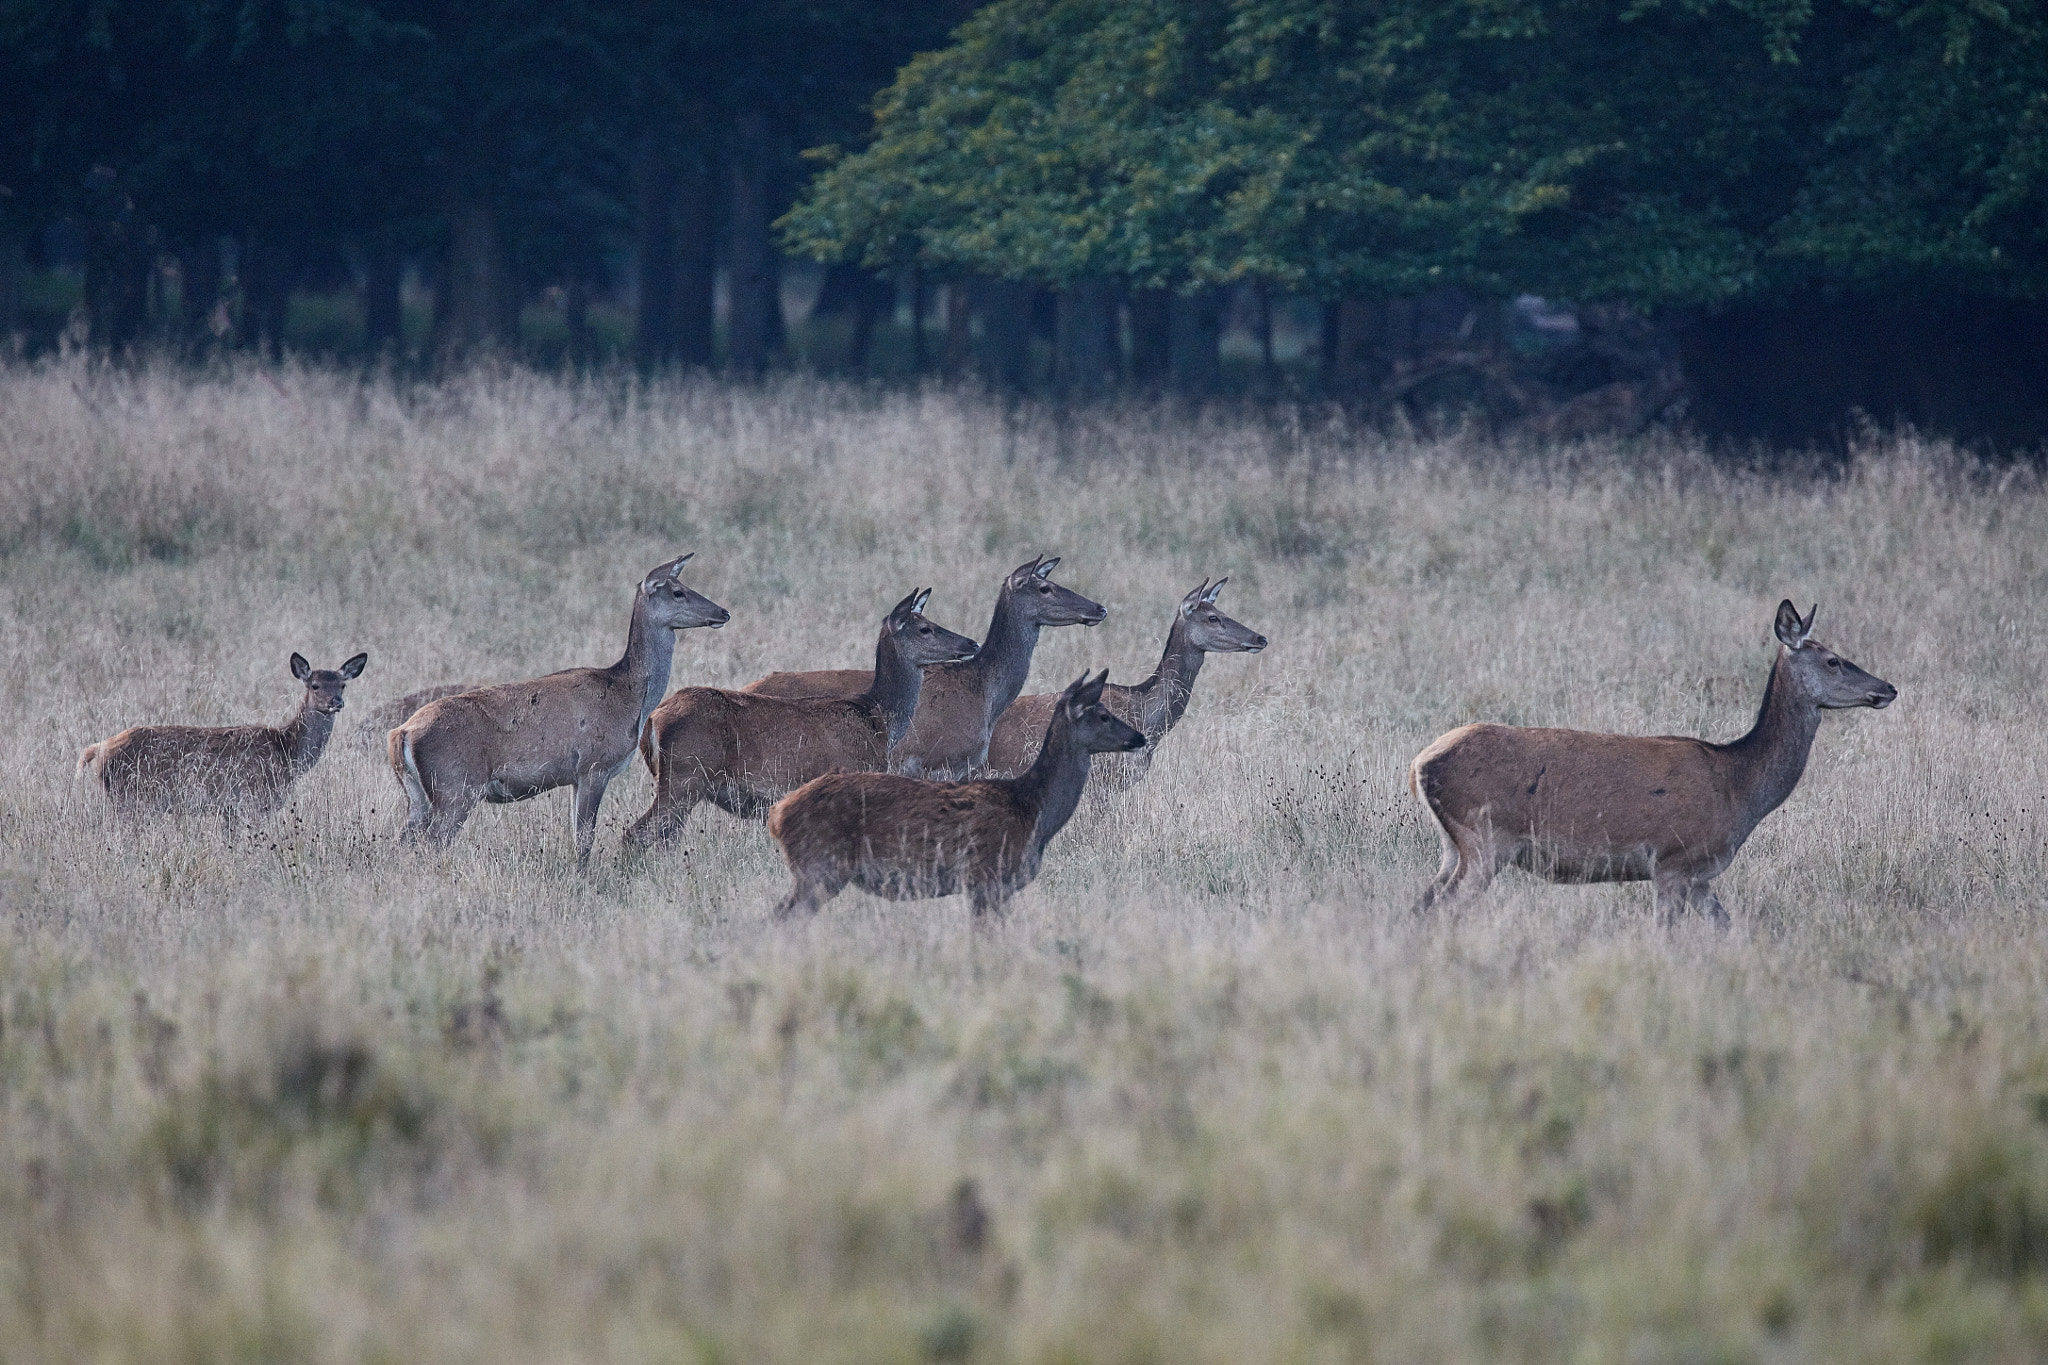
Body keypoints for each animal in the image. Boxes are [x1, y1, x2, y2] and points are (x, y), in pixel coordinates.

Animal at [78, 651, 368, 821]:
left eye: (342, 684)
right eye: (315, 685)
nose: (336, 702)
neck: (287, 752)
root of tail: (98, 749)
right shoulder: (251, 801)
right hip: (130, 798)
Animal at [388, 554, 729, 868]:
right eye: (678, 592)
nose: (723, 612)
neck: (629, 699)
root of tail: (401, 733)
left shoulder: (576, 777)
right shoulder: (594, 766)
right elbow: (585, 839)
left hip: (418, 796)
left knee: (403, 843)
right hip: (455, 788)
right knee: (431, 843)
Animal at [619, 588, 981, 850]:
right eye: (925, 628)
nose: (972, 642)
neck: (878, 720)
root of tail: (652, 721)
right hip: (684, 778)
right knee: (637, 833)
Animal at [765, 670, 1146, 919]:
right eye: (1103, 715)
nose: (1139, 737)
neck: (1032, 808)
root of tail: (778, 814)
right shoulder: (986, 877)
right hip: (819, 866)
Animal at [1408, 600, 1896, 924]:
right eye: (1833, 660)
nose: (1888, 688)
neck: (1738, 788)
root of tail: (1419, 765)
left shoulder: (1699, 877)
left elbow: (1725, 926)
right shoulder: (1672, 862)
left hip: (1453, 846)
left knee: (1419, 904)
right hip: (1486, 839)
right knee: (1442, 907)